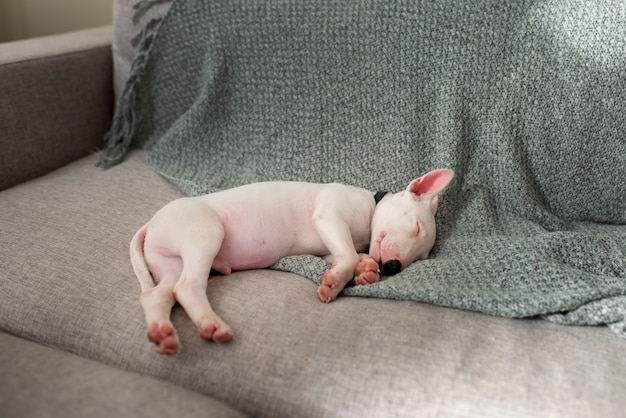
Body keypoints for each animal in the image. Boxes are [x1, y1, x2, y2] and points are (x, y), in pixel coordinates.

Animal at [132, 168, 454, 354]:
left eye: (421, 257)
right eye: (417, 227)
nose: (394, 267)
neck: (370, 207)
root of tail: (151, 223)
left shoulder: (328, 249)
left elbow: (350, 256)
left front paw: (365, 272)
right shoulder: (329, 217)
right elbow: (348, 255)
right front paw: (337, 282)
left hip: (170, 264)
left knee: (158, 295)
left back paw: (163, 334)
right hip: (205, 234)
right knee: (187, 287)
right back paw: (212, 325)